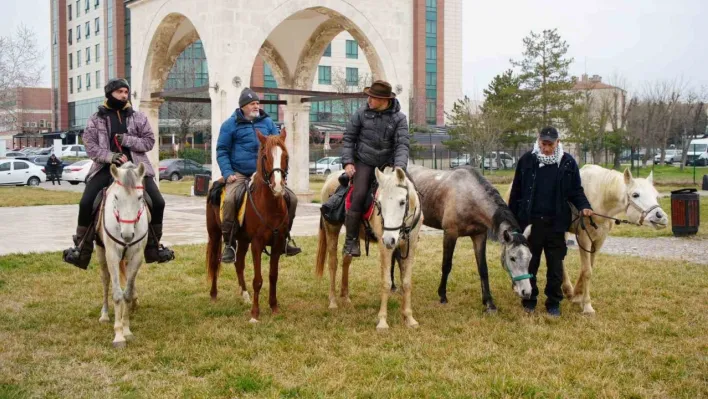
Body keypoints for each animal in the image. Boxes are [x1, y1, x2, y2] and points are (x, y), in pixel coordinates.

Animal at [95, 162, 149, 346]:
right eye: (116, 197)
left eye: (140, 197)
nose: (126, 235)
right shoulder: (112, 255)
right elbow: (117, 295)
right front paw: (118, 335)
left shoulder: (137, 256)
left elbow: (126, 294)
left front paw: (126, 330)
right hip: (101, 252)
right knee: (105, 280)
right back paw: (104, 315)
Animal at [206, 130, 292, 324]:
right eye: (265, 156)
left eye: (286, 156)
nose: (278, 186)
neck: (269, 205)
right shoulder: (257, 244)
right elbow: (258, 280)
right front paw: (255, 314)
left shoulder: (277, 244)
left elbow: (273, 276)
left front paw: (274, 307)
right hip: (215, 234)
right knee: (215, 262)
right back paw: (213, 295)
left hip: (244, 240)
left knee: (239, 264)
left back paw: (245, 295)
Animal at [316, 167, 426, 330]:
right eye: (379, 203)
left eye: (402, 202)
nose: (389, 239)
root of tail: (331, 178)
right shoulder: (385, 248)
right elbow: (386, 282)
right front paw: (382, 321)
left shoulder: (410, 245)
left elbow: (406, 282)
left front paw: (409, 318)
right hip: (332, 230)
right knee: (333, 263)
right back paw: (333, 302)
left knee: (346, 260)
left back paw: (345, 297)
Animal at [404, 165, 532, 312]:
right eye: (512, 258)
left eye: (530, 257)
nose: (527, 292)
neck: (469, 195)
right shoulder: (450, 234)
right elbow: (446, 265)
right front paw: (442, 296)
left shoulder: (479, 235)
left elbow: (483, 269)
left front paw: (489, 303)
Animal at [560, 166, 668, 316]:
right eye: (635, 195)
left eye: (656, 195)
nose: (661, 217)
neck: (600, 196)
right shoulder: (584, 238)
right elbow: (587, 271)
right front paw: (587, 306)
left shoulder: (599, 239)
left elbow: (588, 268)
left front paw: (577, 295)